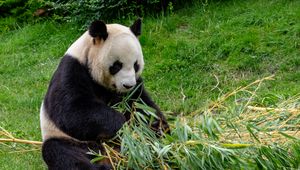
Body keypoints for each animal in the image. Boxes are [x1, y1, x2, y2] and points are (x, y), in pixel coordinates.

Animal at [40, 18, 169, 170]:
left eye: (136, 65)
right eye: (117, 65)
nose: (128, 85)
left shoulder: (134, 88)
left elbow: (142, 107)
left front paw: (155, 128)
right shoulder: (72, 70)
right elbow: (71, 110)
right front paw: (121, 125)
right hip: (72, 141)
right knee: (61, 152)